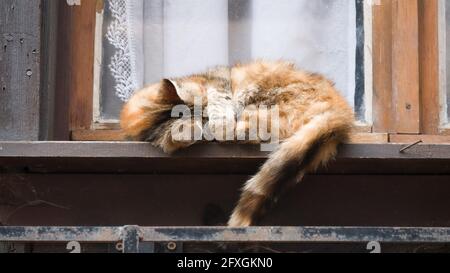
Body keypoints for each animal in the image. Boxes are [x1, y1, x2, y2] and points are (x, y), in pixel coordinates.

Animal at [121, 60, 354, 226]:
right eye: (202, 123)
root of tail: (342, 112)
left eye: (206, 114)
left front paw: (222, 122)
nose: (229, 118)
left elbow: (219, 98)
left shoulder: (217, 82)